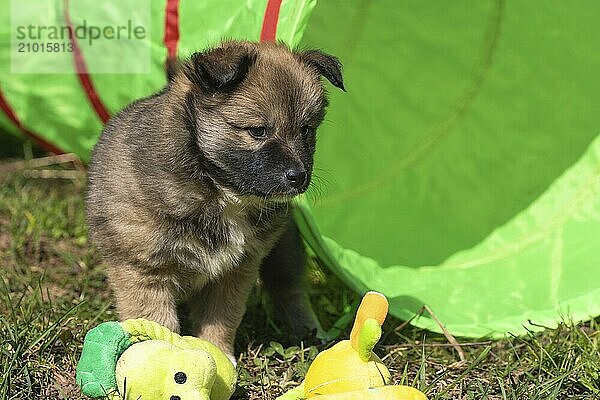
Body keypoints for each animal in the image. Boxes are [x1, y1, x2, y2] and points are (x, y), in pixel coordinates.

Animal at [86, 40, 344, 358]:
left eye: (306, 129)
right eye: (258, 131)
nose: (299, 176)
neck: (222, 192)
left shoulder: (235, 270)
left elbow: (222, 317)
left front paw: (218, 353)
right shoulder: (142, 269)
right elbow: (157, 320)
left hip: (285, 248)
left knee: (290, 291)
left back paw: (312, 333)